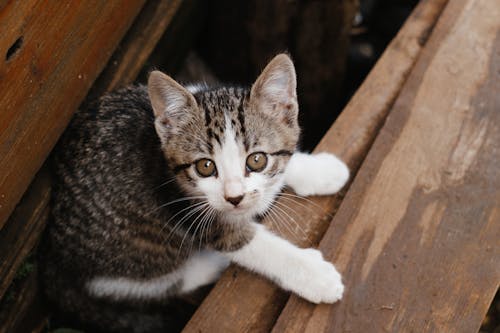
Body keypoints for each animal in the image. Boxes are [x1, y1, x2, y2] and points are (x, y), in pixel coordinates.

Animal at [42, 54, 348, 332]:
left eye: (256, 160)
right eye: (205, 166)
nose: (234, 197)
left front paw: (323, 170)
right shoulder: (186, 211)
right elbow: (251, 244)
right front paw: (314, 275)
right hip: (133, 252)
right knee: (141, 285)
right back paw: (210, 265)